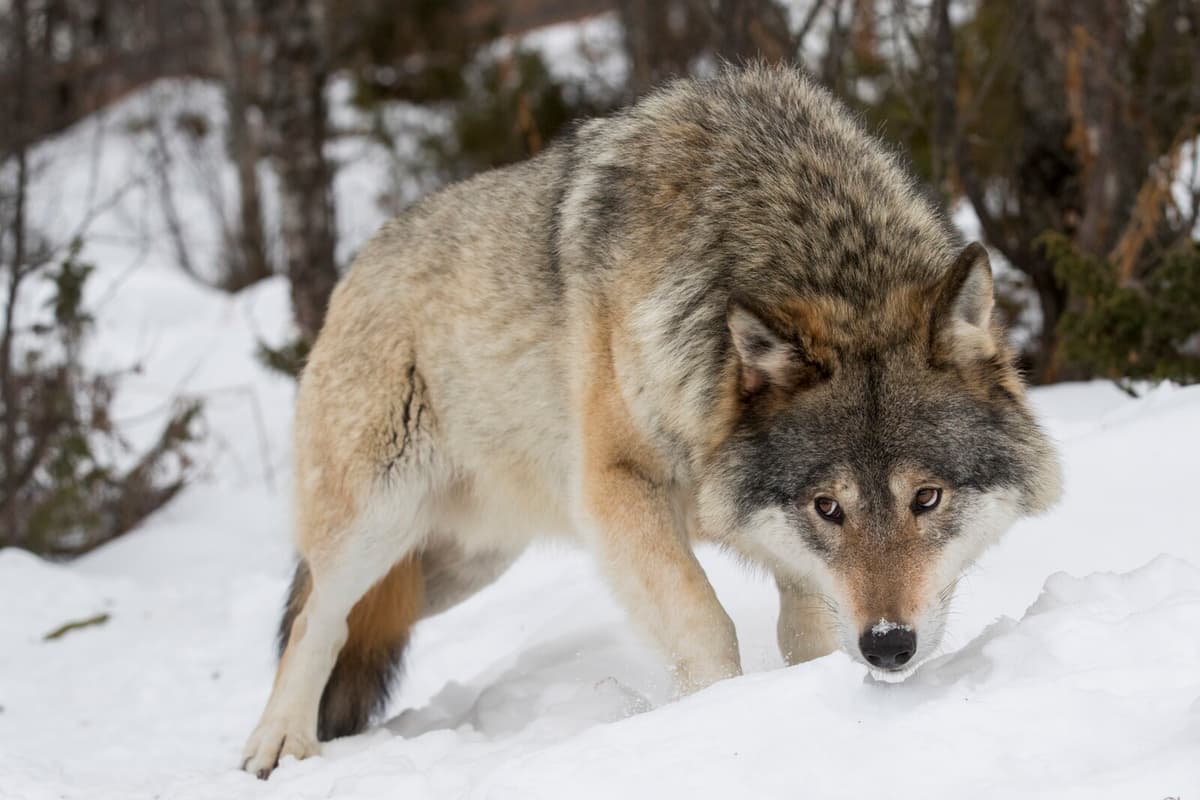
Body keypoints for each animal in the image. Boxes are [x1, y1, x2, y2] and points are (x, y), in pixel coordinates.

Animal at [242, 65, 1062, 777]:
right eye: (829, 507)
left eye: (927, 498)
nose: (889, 647)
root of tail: (356, 265)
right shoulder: (616, 488)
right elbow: (703, 626)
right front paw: (724, 720)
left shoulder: (790, 556)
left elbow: (807, 631)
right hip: (378, 523)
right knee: (317, 617)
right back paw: (277, 746)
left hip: (459, 568)